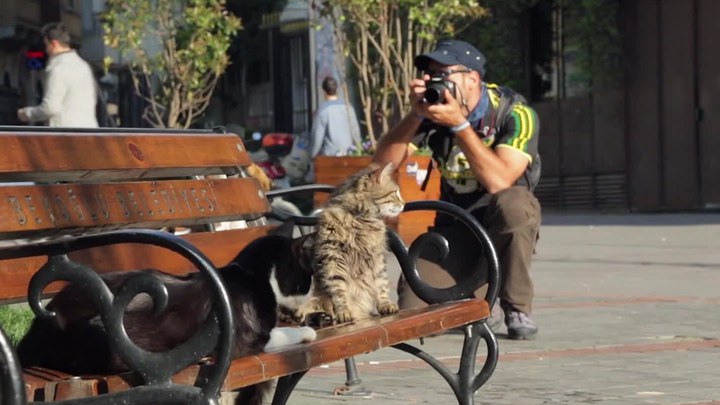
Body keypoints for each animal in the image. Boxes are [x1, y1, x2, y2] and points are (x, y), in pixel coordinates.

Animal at [16, 221, 316, 404]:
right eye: (307, 276)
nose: (314, 290)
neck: (253, 275)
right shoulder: (251, 338)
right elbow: (283, 332)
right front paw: (307, 330)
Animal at [292, 163, 404, 324]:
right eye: (394, 192)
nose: (404, 203)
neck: (360, 219)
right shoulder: (333, 259)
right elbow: (339, 290)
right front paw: (344, 311)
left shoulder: (377, 258)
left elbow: (381, 284)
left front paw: (385, 304)